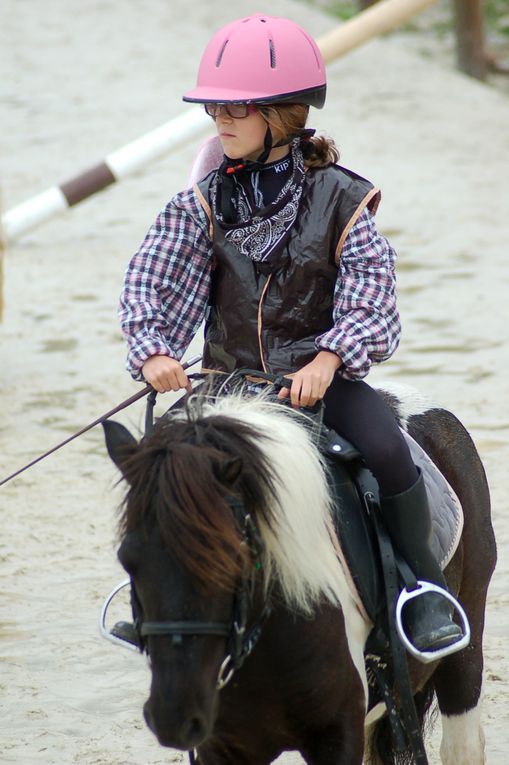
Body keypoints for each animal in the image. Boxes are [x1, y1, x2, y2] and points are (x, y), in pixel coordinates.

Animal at [103, 388, 496, 764]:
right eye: (127, 560)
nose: (174, 717)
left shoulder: (337, 736)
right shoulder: (222, 746)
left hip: (463, 650)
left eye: (232, 558)